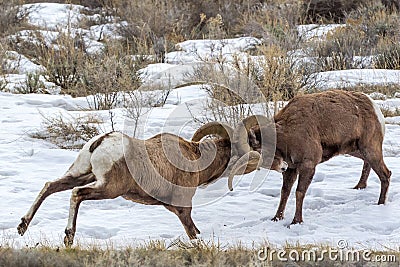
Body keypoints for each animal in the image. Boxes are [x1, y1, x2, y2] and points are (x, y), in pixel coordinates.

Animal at [17, 121, 268, 247]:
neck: (196, 159)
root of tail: (101, 142)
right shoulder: (183, 209)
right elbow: (192, 232)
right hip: (107, 188)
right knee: (77, 194)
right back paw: (68, 237)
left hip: (81, 174)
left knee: (50, 186)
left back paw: (22, 226)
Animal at [228, 90, 390, 226]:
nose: (282, 167)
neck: (288, 132)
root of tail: (375, 108)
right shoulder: (292, 169)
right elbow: (285, 192)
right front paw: (276, 218)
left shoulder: (308, 166)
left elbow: (299, 192)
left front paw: (296, 222)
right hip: (357, 150)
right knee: (368, 166)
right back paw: (359, 187)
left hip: (370, 149)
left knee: (385, 174)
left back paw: (380, 204)